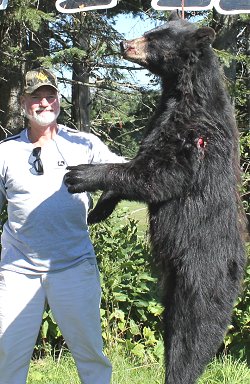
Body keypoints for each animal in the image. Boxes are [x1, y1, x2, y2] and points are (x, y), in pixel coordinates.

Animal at [64, 12, 246, 384]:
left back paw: (179, 372)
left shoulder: (195, 134)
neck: (183, 91)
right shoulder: (160, 117)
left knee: (195, 331)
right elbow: (142, 161)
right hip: (174, 283)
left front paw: (82, 175)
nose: (123, 43)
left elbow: (160, 175)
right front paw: (99, 210)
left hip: (202, 272)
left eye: (154, 38)